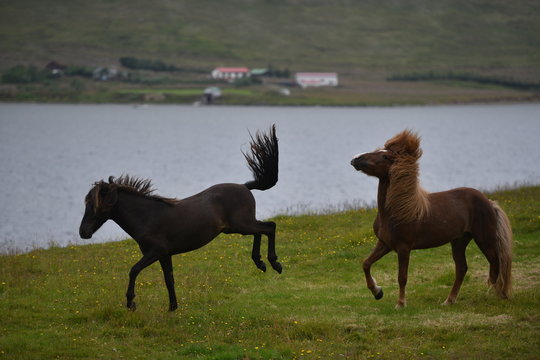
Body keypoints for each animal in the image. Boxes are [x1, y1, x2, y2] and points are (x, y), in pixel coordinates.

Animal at [81, 125, 282, 310]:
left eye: (93, 206)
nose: (83, 232)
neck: (147, 217)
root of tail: (245, 186)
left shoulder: (155, 252)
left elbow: (134, 270)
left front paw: (131, 303)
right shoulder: (164, 255)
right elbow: (169, 279)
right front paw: (172, 308)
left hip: (241, 225)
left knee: (269, 227)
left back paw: (274, 263)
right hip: (236, 227)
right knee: (260, 230)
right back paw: (260, 263)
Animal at [352, 131, 512, 308]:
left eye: (384, 156)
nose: (356, 159)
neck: (396, 210)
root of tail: (489, 202)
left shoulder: (403, 248)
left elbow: (402, 277)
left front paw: (400, 303)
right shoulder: (385, 244)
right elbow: (366, 264)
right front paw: (377, 292)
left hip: (484, 239)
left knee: (496, 263)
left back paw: (494, 294)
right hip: (459, 241)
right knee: (462, 268)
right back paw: (449, 300)